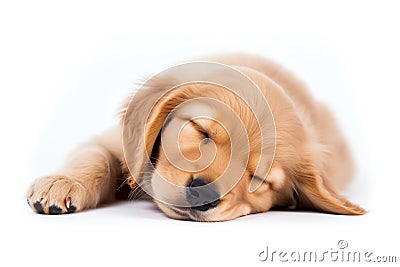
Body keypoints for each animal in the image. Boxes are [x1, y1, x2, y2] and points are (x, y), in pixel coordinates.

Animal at [26, 52, 366, 222]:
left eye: (258, 177)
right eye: (202, 132)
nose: (204, 194)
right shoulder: (117, 142)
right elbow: (95, 156)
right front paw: (62, 183)